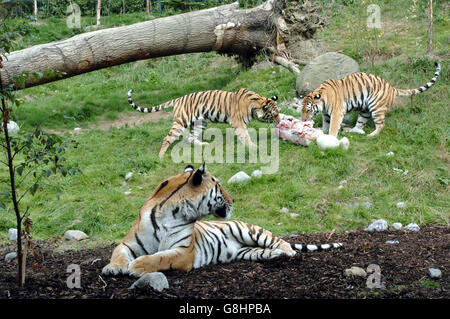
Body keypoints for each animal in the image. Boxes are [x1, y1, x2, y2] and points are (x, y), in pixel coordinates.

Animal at [101, 164, 342, 278]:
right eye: (219, 186)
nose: (233, 199)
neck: (170, 213)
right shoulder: (129, 243)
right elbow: (117, 253)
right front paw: (113, 268)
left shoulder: (183, 252)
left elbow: (160, 257)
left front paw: (137, 266)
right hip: (248, 251)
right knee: (268, 251)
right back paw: (277, 256)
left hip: (251, 231)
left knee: (281, 242)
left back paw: (289, 253)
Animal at [126, 88, 280, 158]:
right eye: (274, 115)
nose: (279, 122)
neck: (255, 104)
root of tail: (178, 99)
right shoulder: (238, 123)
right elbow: (245, 135)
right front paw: (253, 147)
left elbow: (244, 135)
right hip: (181, 122)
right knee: (167, 138)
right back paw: (160, 156)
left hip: (200, 123)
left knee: (190, 138)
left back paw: (204, 145)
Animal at [300, 62, 442, 138]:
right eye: (302, 111)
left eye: (308, 110)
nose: (304, 120)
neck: (322, 102)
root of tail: (391, 88)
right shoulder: (326, 113)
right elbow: (326, 122)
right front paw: (322, 130)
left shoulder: (337, 112)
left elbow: (333, 125)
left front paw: (330, 137)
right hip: (365, 110)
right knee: (360, 125)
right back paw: (352, 130)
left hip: (376, 108)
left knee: (381, 124)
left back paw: (372, 135)